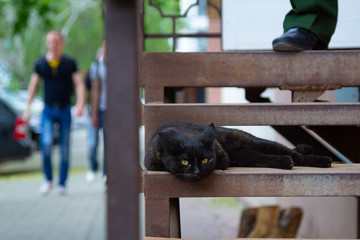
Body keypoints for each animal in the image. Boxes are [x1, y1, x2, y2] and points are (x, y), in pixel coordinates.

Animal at [144, 121, 332, 181]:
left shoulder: (222, 154)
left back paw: (322, 160)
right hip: (248, 157)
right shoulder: (152, 165)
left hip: (262, 144)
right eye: (185, 162)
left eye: (204, 160)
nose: (196, 172)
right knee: (267, 159)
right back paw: (285, 162)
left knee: (295, 154)